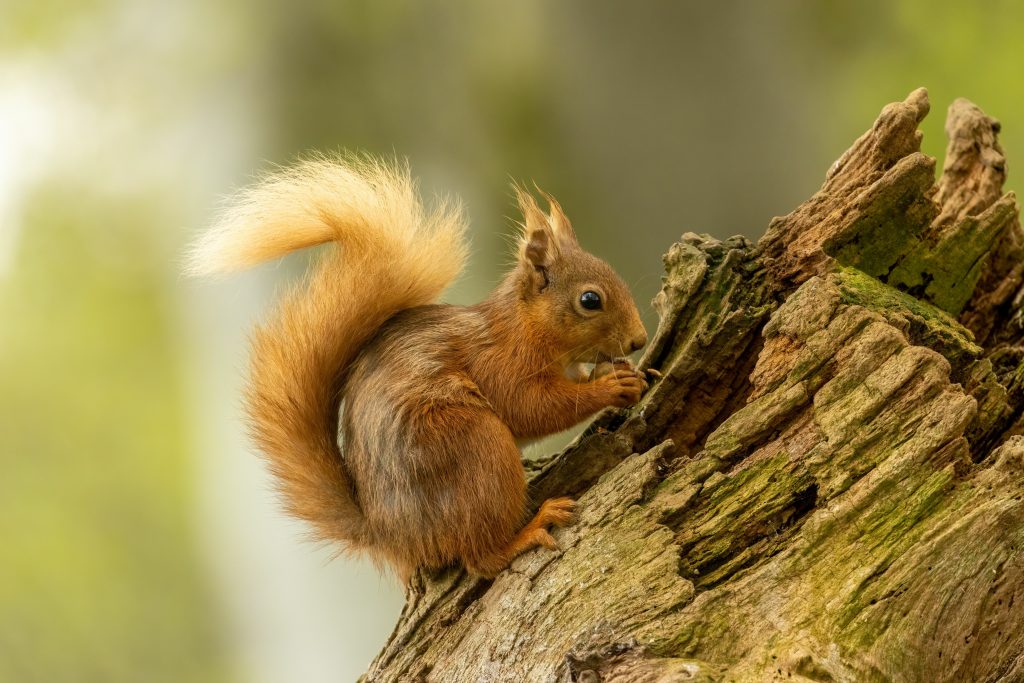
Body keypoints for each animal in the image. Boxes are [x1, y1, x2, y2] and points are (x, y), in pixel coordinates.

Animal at [187, 152, 647, 581]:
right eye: (590, 300)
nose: (639, 341)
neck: (526, 327)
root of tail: (394, 537)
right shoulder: (499, 363)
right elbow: (531, 408)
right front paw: (610, 389)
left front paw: (618, 373)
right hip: (474, 447)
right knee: (480, 557)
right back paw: (528, 530)